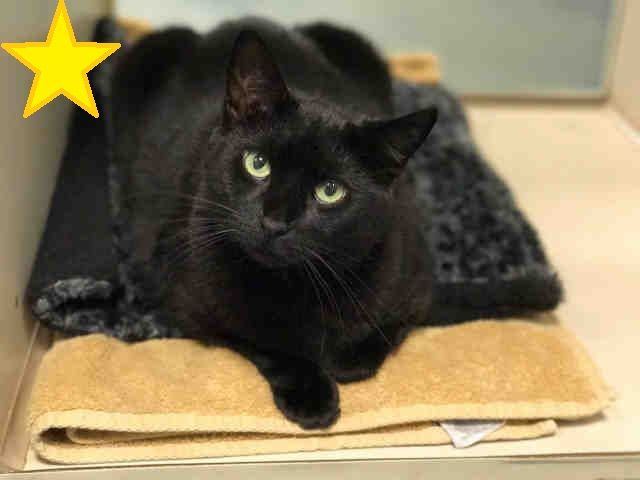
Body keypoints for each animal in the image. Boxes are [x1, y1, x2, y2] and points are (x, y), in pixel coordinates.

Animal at [111, 18, 437, 429]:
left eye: (330, 191)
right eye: (257, 163)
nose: (275, 221)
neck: (297, 284)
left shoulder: (415, 281)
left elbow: (376, 338)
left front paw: (343, 358)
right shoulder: (192, 305)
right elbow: (267, 343)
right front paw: (312, 396)